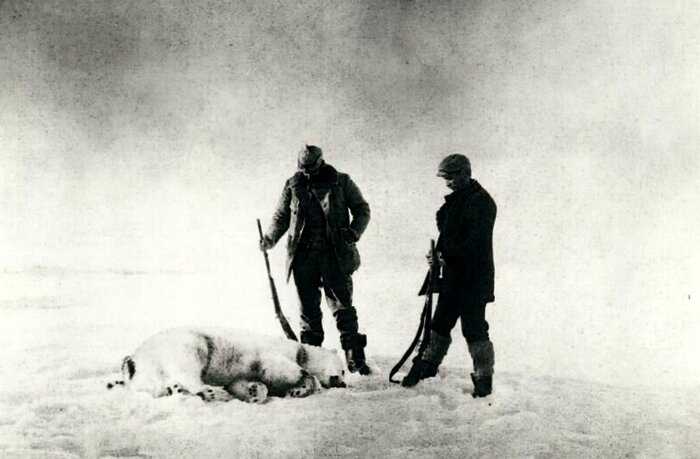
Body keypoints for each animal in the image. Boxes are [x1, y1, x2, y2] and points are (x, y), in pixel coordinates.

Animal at [107, 328, 348, 402]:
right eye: (344, 369)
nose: (342, 383)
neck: (300, 350)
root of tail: (137, 355)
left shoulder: (243, 372)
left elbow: (241, 382)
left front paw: (254, 391)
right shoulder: (273, 353)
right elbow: (281, 367)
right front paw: (300, 386)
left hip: (152, 367)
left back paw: (176, 389)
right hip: (191, 343)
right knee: (187, 368)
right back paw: (207, 391)